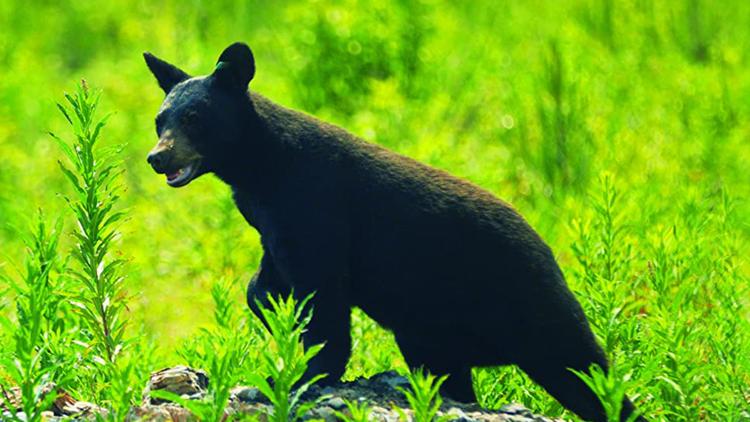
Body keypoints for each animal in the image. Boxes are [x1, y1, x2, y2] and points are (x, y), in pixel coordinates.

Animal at [144, 42, 644, 422]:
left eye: (194, 118)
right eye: (159, 119)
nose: (157, 157)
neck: (258, 169)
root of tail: (549, 251)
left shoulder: (315, 205)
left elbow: (324, 296)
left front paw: (297, 377)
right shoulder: (272, 219)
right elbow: (270, 276)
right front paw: (270, 305)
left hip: (535, 307)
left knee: (588, 375)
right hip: (432, 336)